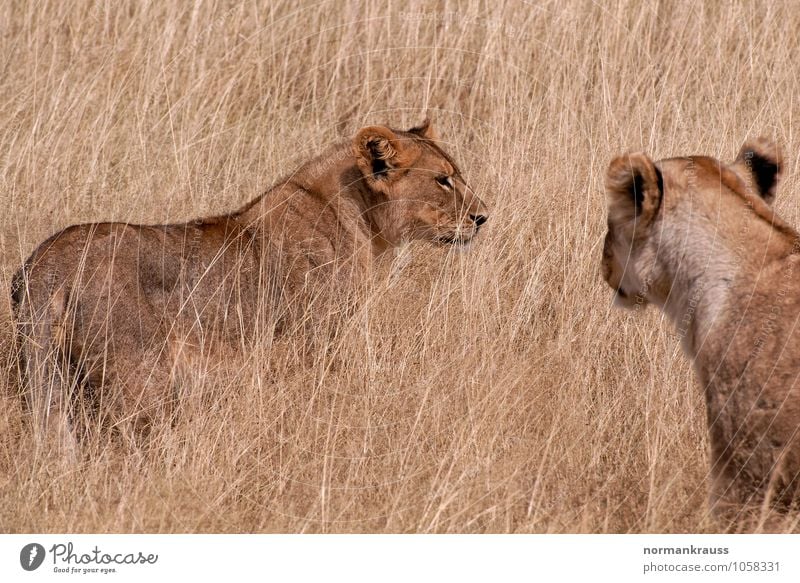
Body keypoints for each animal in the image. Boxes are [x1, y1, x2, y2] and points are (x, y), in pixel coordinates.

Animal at [10, 117, 488, 448]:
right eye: (443, 180)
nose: (483, 217)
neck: (363, 221)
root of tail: (46, 262)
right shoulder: (318, 339)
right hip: (140, 378)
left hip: (54, 376)